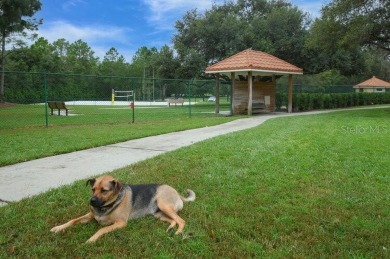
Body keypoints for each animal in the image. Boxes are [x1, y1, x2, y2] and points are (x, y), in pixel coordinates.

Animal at [50, 176, 195, 245]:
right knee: (174, 220)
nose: (91, 201)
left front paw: (91, 239)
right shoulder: (90, 215)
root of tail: (176, 192)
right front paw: (58, 228)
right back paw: (170, 228)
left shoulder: (120, 223)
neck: (107, 206)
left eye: (104, 190)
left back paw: (178, 233)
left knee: (181, 220)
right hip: (158, 213)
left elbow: (101, 229)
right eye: (93, 189)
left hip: (163, 204)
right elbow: (73, 220)